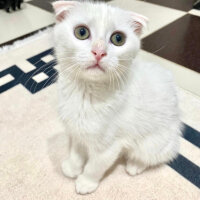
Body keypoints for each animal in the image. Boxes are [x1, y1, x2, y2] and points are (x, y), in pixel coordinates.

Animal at [52, 0, 183, 194]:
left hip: (152, 143)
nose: (99, 52)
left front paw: (86, 182)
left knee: (153, 156)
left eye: (118, 39)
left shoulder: (108, 146)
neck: (85, 94)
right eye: (81, 32)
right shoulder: (77, 132)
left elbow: (95, 166)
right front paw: (72, 168)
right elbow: (76, 152)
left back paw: (135, 165)